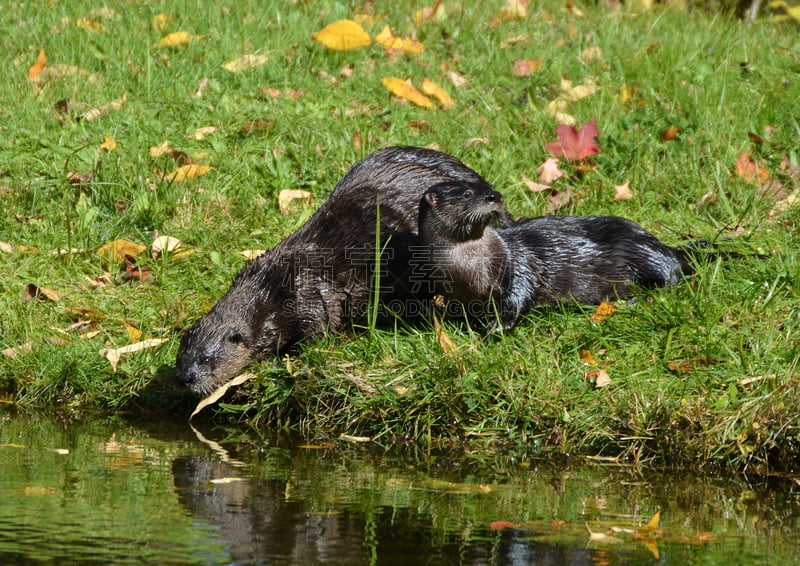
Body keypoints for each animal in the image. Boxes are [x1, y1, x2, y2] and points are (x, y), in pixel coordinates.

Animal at [176, 146, 512, 394]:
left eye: (206, 359)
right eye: (181, 357)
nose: (185, 378)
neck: (268, 291)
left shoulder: (308, 295)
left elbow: (319, 330)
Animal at [418, 182, 692, 332]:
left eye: (487, 188)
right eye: (466, 194)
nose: (494, 195)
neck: (468, 271)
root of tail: (662, 244)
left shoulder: (519, 265)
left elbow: (519, 294)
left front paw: (498, 325)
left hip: (639, 251)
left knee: (671, 277)